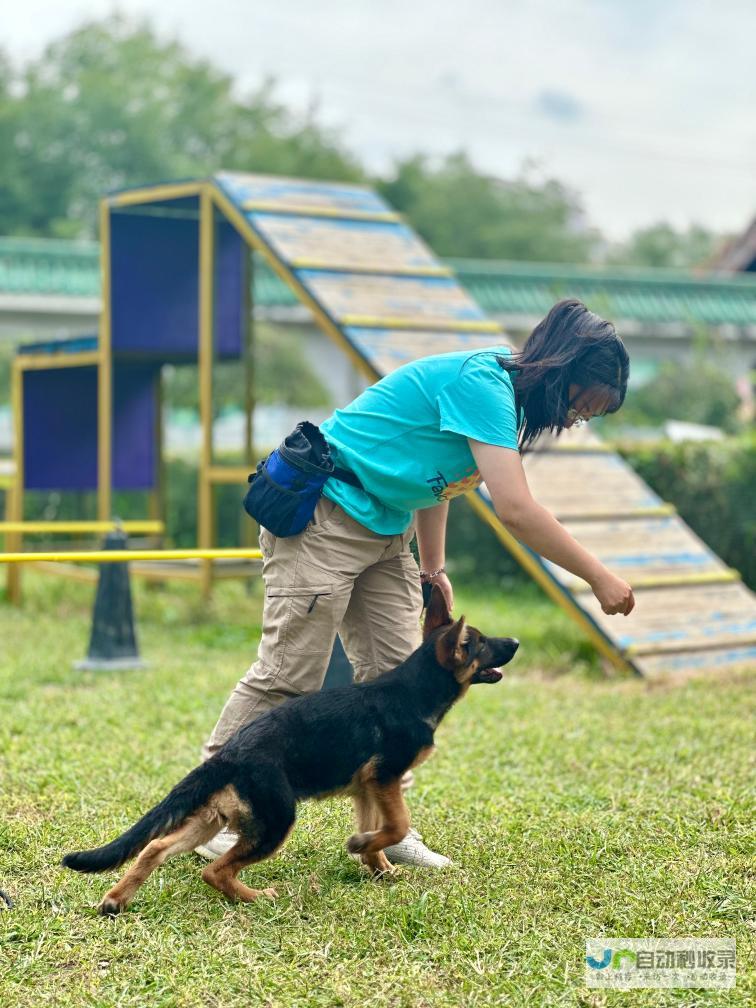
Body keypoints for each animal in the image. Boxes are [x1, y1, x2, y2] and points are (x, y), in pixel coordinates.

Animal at [62, 584, 520, 915]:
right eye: (478, 644)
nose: (515, 641)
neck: (415, 689)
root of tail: (229, 753)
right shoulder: (386, 777)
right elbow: (397, 825)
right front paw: (362, 846)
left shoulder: (367, 789)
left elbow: (381, 831)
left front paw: (379, 867)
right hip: (276, 821)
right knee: (214, 871)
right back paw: (254, 898)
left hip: (214, 817)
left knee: (155, 847)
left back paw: (116, 899)